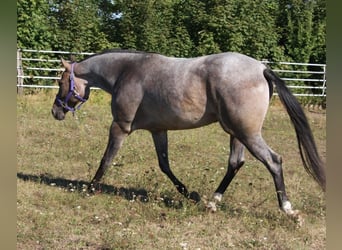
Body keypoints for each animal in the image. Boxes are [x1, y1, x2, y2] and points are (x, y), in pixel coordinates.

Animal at [51, 49, 326, 217]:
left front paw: (90, 188)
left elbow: (106, 159)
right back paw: (211, 202)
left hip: (248, 134)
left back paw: (288, 210)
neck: (127, 71)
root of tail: (261, 69)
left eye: (60, 81)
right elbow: (164, 165)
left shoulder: (120, 126)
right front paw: (188, 193)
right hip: (236, 132)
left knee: (274, 161)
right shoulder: (158, 130)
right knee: (235, 163)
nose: (56, 111)